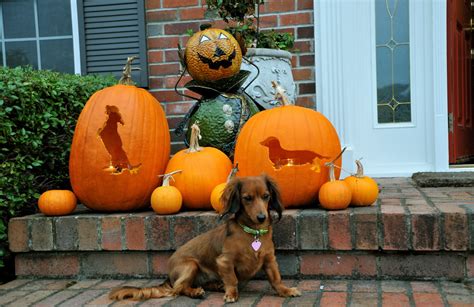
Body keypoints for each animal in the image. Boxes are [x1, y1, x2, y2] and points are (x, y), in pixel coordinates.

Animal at [109, 174, 300, 304]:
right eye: (247, 198)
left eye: (266, 196)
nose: (261, 217)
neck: (253, 233)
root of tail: (169, 276)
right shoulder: (224, 261)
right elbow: (232, 279)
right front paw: (231, 294)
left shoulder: (269, 260)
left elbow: (275, 279)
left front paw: (286, 290)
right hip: (190, 265)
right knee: (178, 289)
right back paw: (196, 292)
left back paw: (216, 286)